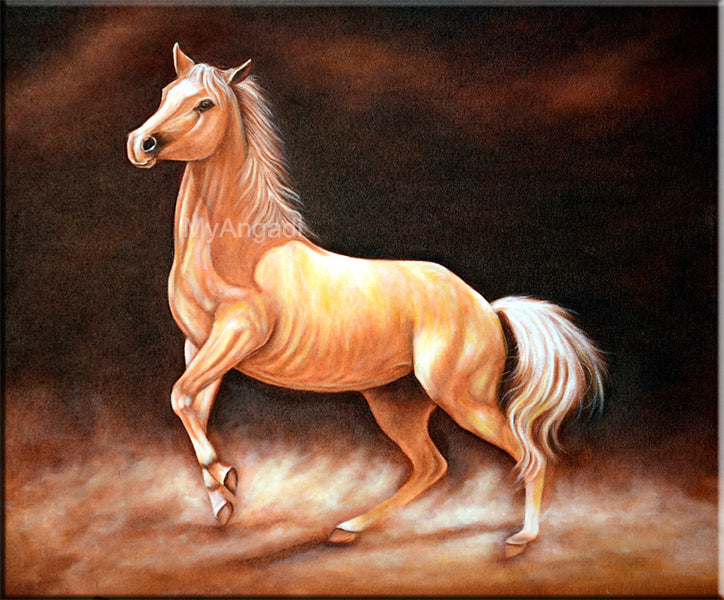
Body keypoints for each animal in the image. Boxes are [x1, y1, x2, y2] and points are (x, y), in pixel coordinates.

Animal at [126, 44, 606, 556]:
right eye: (166, 92)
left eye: (205, 104)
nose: (141, 143)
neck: (241, 250)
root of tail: (487, 308)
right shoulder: (200, 345)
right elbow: (191, 405)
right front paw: (222, 500)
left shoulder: (236, 334)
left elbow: (179, 396)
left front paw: (227, 478)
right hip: (396, 403)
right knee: (431, 466)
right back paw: (348, 528)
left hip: (463, 399)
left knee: (529, 454)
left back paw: (521, 539)